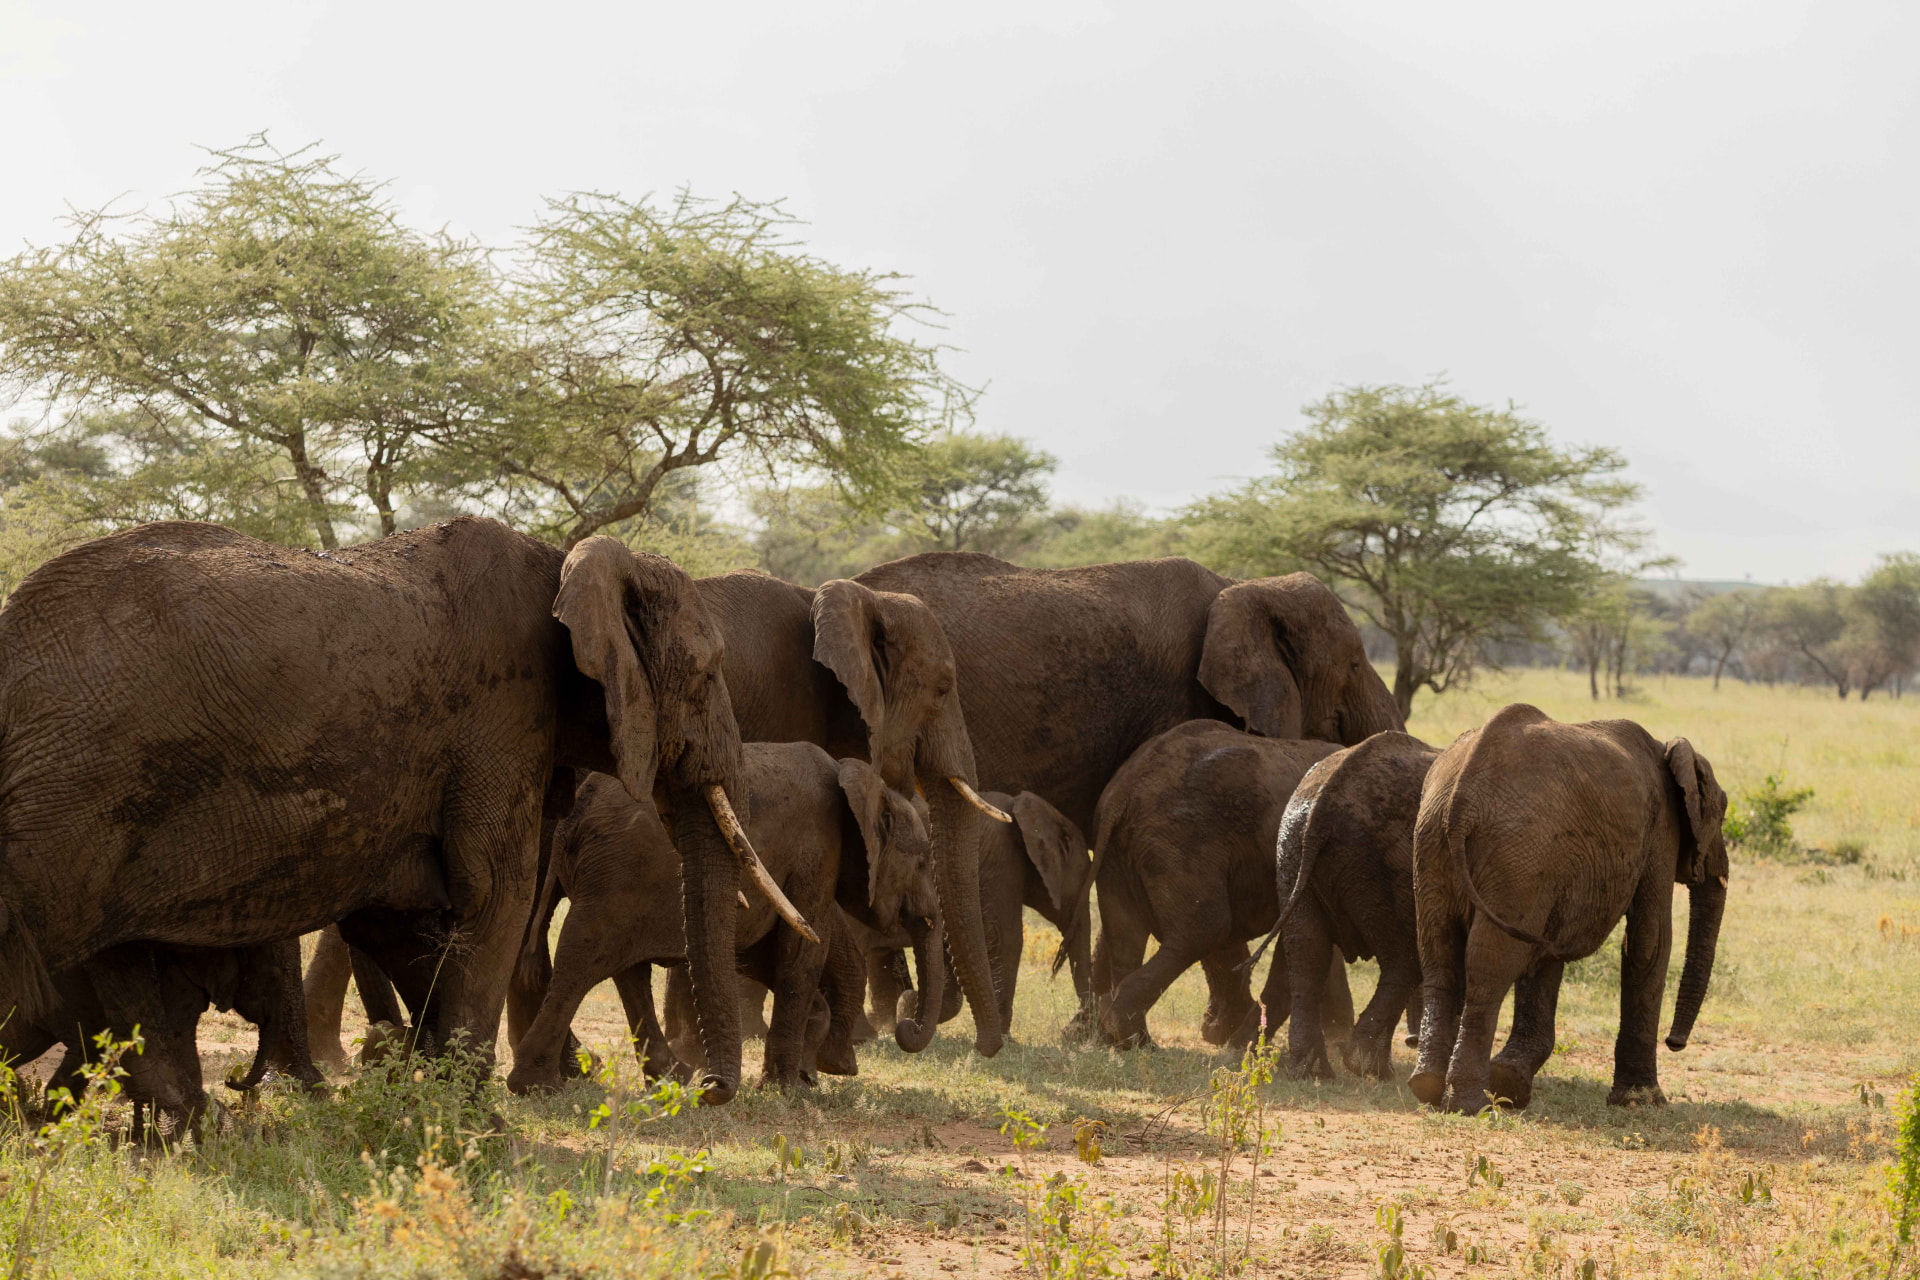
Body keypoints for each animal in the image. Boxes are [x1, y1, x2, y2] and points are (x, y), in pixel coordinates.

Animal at [0, 519, 786, 1105]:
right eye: (708, 673)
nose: (708, 1089)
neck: (567, 563)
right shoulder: (499, 722)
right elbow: (491, 900)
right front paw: (475, 1130)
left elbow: (404, 924)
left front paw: (432, 1097)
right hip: (61, 810)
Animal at [506, 744, 940, 1094]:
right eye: (922, 862)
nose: (907, 1024)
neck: (858, 778)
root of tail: (573, 817)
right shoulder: (817, 853)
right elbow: (800, 951)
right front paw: (792, 1088)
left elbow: (761, 951)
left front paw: (813, 1072)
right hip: (615, 877)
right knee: (583, 961)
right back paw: (540, 1085)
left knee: (625, 970)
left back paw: (671, 1079)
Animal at [1089, 720, 1345, 1047]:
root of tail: (1123, 792)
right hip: (1184, 839)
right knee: (1206, 927)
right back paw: (1124, 1027)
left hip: (1119, 848)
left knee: (1126, 931)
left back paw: (1132, 1038)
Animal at [1249, 732, 1438, 1080]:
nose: (1412, 1040)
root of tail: (1324, 804)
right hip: (1382, 862)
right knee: (1403, 960)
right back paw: (1371, 1070)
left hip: (1292, 846)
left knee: (1307, 952)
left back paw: (1313, 1072)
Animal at [1410, 704, 1730, 1114]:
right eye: (1722, 813)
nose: (1675, 1043)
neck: (1666, 747)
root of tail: (1460, 800)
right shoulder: (1661, 829)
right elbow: (1650, 940)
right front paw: (1642, 1101)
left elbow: (1547, 952)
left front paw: (1510, 1082)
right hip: (1516, 853)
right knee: (1490, 966)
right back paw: (1469, 1104)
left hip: (1436, 844)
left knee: (1440, 955)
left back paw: (1427, 1088)